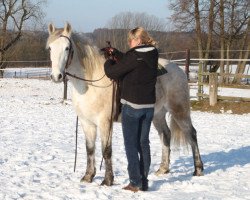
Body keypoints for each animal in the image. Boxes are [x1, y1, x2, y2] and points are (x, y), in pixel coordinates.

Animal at [46, 23, 203, 186]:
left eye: (67, 48)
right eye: (50, 48)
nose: (56, 76)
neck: (90, 83)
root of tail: (179, 70)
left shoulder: (105, 122)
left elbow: (106, 150)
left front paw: (108, 180)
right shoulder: (86, 122)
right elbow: (90, 149)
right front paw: (88, 176)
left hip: (179, 111)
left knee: (191, 134)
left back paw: (198, 169)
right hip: (158, 114)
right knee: (165, 135)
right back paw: (163, 169)